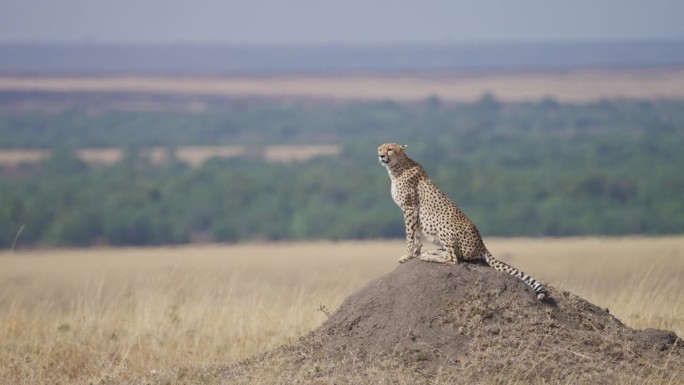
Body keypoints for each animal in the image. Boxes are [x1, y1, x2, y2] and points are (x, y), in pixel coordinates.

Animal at [376, 142, 548, 300]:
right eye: (380, 148)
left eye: (390, 149)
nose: (381, 156)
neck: (397, 167)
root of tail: (482, 244)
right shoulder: (413, 212)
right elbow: (416, 235)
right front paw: (415, 252)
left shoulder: (410, 208)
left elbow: (409, 234)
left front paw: (407, 255)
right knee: (450, 254)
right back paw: (431, 252)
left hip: (443, 224)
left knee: (453, 259)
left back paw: (429, 256)